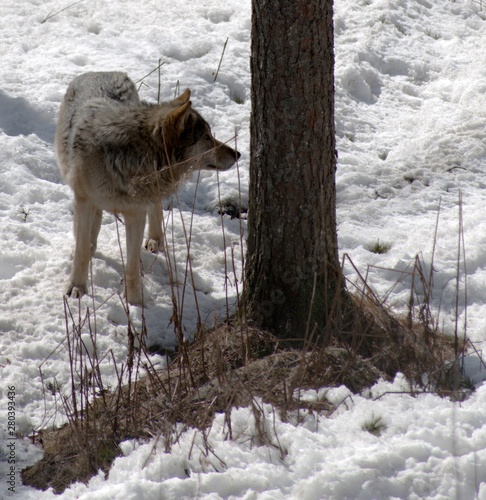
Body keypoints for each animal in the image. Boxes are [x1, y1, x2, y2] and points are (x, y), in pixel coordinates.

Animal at [56, 70, 240, 304]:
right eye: (206, 137)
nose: (238, 154)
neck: (127, 158)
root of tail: (104, 72)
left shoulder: (135, 214)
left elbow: (132, 266)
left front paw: (135, 303)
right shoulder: (84, 202)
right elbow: (81, 251)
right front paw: (76, 288)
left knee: (156, 208)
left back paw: (154, 240)